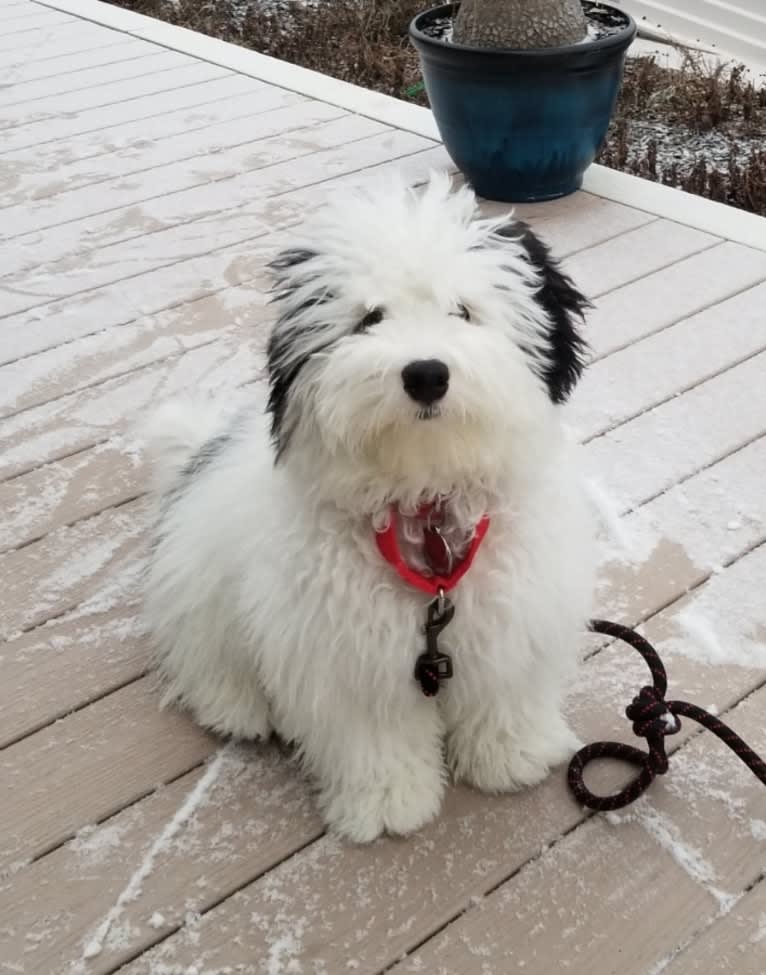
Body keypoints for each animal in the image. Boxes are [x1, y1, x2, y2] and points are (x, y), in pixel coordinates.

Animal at [146, 172, 600, 844]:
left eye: (463, 311)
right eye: (369, 318)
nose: (426, 373)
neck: (425, 500)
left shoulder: (515, 618)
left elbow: (505, 693)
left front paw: (512, 757)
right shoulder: (340, 654)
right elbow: (371, 736)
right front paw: (389, 802)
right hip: (201, 590)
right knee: (207, 657)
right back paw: (239, 707)